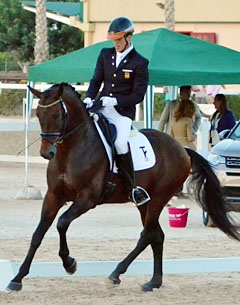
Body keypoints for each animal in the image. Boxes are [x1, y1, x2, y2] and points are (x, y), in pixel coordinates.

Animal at [7, 82, 240, 290]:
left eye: (57, 115)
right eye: (38, 115)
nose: (47, 153)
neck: (71, 151)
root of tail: (182, 149)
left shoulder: (87, 199)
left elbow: (62, 223)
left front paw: (69, 263)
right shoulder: (53, 196)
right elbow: (38, 234)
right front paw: (17, 279)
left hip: (159, 198)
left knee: (146, 235)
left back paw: (116, 274)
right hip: (144, 202)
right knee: (157, 235)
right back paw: (153, 282)